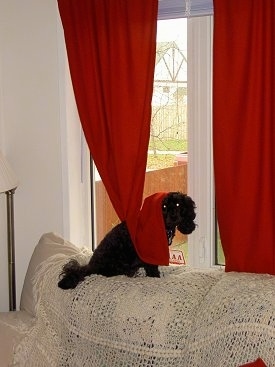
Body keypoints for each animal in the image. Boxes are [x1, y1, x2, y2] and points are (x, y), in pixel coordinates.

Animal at [58, 193, 196, 290]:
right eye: (164, 206)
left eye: (178, 205)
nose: (173, 217)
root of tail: (91, 266)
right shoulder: (148, 257)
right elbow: (153, 271)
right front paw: (156, 278)